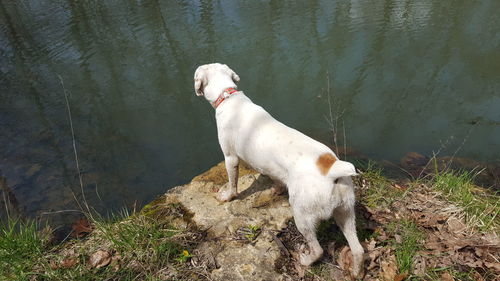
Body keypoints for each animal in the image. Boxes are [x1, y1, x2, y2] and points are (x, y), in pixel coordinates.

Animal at [194, 63, 364, 276]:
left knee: (318, 249)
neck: (228, 95)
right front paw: (276, 189)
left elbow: (233, 183)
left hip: (302, 215)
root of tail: (332, 170)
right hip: (346, 213)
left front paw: (228, 196)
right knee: (358, 249)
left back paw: (306, 260)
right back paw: (357, 272)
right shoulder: (271, 169)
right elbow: (275, 178)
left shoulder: (230, 158)